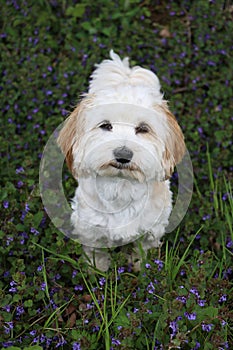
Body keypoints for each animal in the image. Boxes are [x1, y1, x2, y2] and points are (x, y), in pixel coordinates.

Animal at [57, 50, 185, 272]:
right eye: (105, 125)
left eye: (143, 129)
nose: (123, 155)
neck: (121, 185)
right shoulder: (90, 229)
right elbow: (96, 254)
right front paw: (97, 271)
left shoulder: (151, 230)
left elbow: (141, 252)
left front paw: (141, 269)